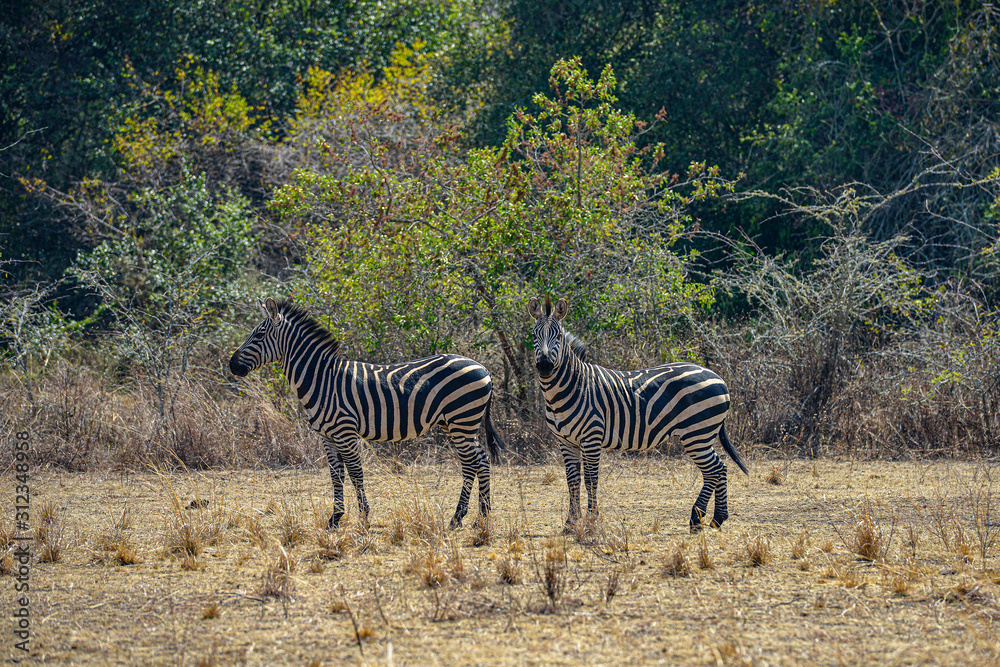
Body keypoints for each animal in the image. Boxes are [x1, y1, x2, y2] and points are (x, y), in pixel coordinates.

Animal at [229, 298, 505, 530]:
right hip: (456, 423)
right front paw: (335, 517)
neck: (322, 380)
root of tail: (483, 368)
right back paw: (482, 516)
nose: (232, 365)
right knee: (482, 460)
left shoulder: (345, 431)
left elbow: (355, 473)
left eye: (259, 334)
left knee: (470, 464)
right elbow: (336, 475)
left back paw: (458, 517)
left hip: (462, 420)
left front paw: (363, 516)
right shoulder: (327, 436)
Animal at [527, 296, 749, 532]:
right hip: (702, 434)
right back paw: (718, 518)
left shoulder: (591, 437)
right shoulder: (565, 441)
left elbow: (591, 479)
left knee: (713, 470)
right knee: (720, 467)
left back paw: (696, 520)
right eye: (534, 335)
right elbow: (572, 481)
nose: (545, 366)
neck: (571, 387)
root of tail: (718, 377)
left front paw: (592, 521)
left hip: (697, 433)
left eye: (558, 336)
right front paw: (570, 523)